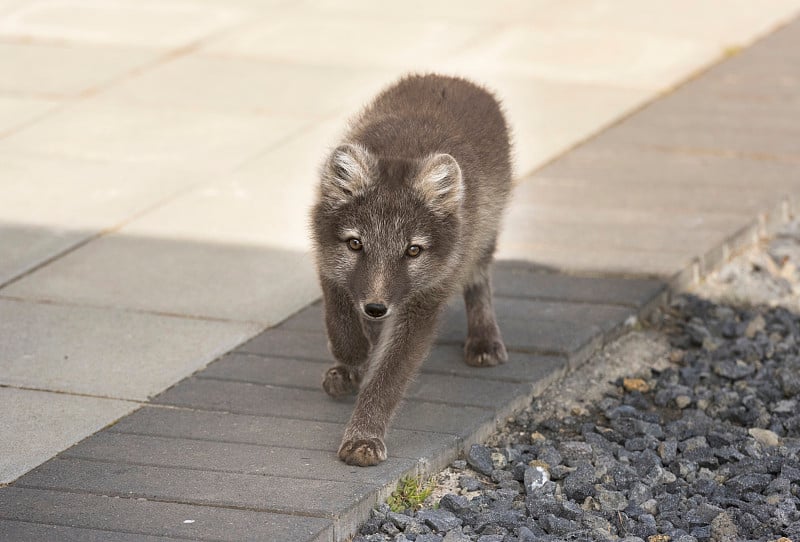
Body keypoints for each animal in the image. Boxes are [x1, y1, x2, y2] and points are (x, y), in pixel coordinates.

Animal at [310, 74, 510, 470]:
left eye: (413, 250)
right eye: (355, 244)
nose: (375, 307)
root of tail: (450, 78)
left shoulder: (425, 300)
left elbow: (389, 376)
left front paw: (363, 439)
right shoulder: (326, 259)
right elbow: (339, 316)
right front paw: (353, 357)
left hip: (481, 239)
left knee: (479, 280)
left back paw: (483, 339)